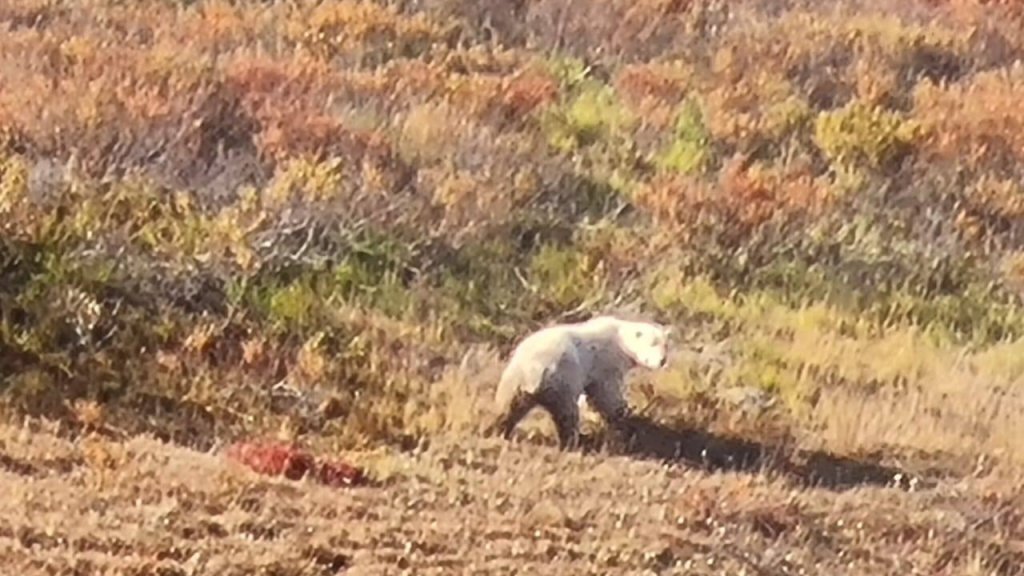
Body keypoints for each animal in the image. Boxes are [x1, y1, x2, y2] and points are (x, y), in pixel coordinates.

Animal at [489, 313, 671, 448]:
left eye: (666, 345)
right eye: (652, 344)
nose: (662, 361)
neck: (620, 337)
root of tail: (533, 373)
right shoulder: (604, 362)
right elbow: (605, 392)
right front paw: (622, 413)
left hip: (514, 378)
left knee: (508, 404)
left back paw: (499, 429)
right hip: (562, 378)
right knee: (567, 412)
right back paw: (575, 440)